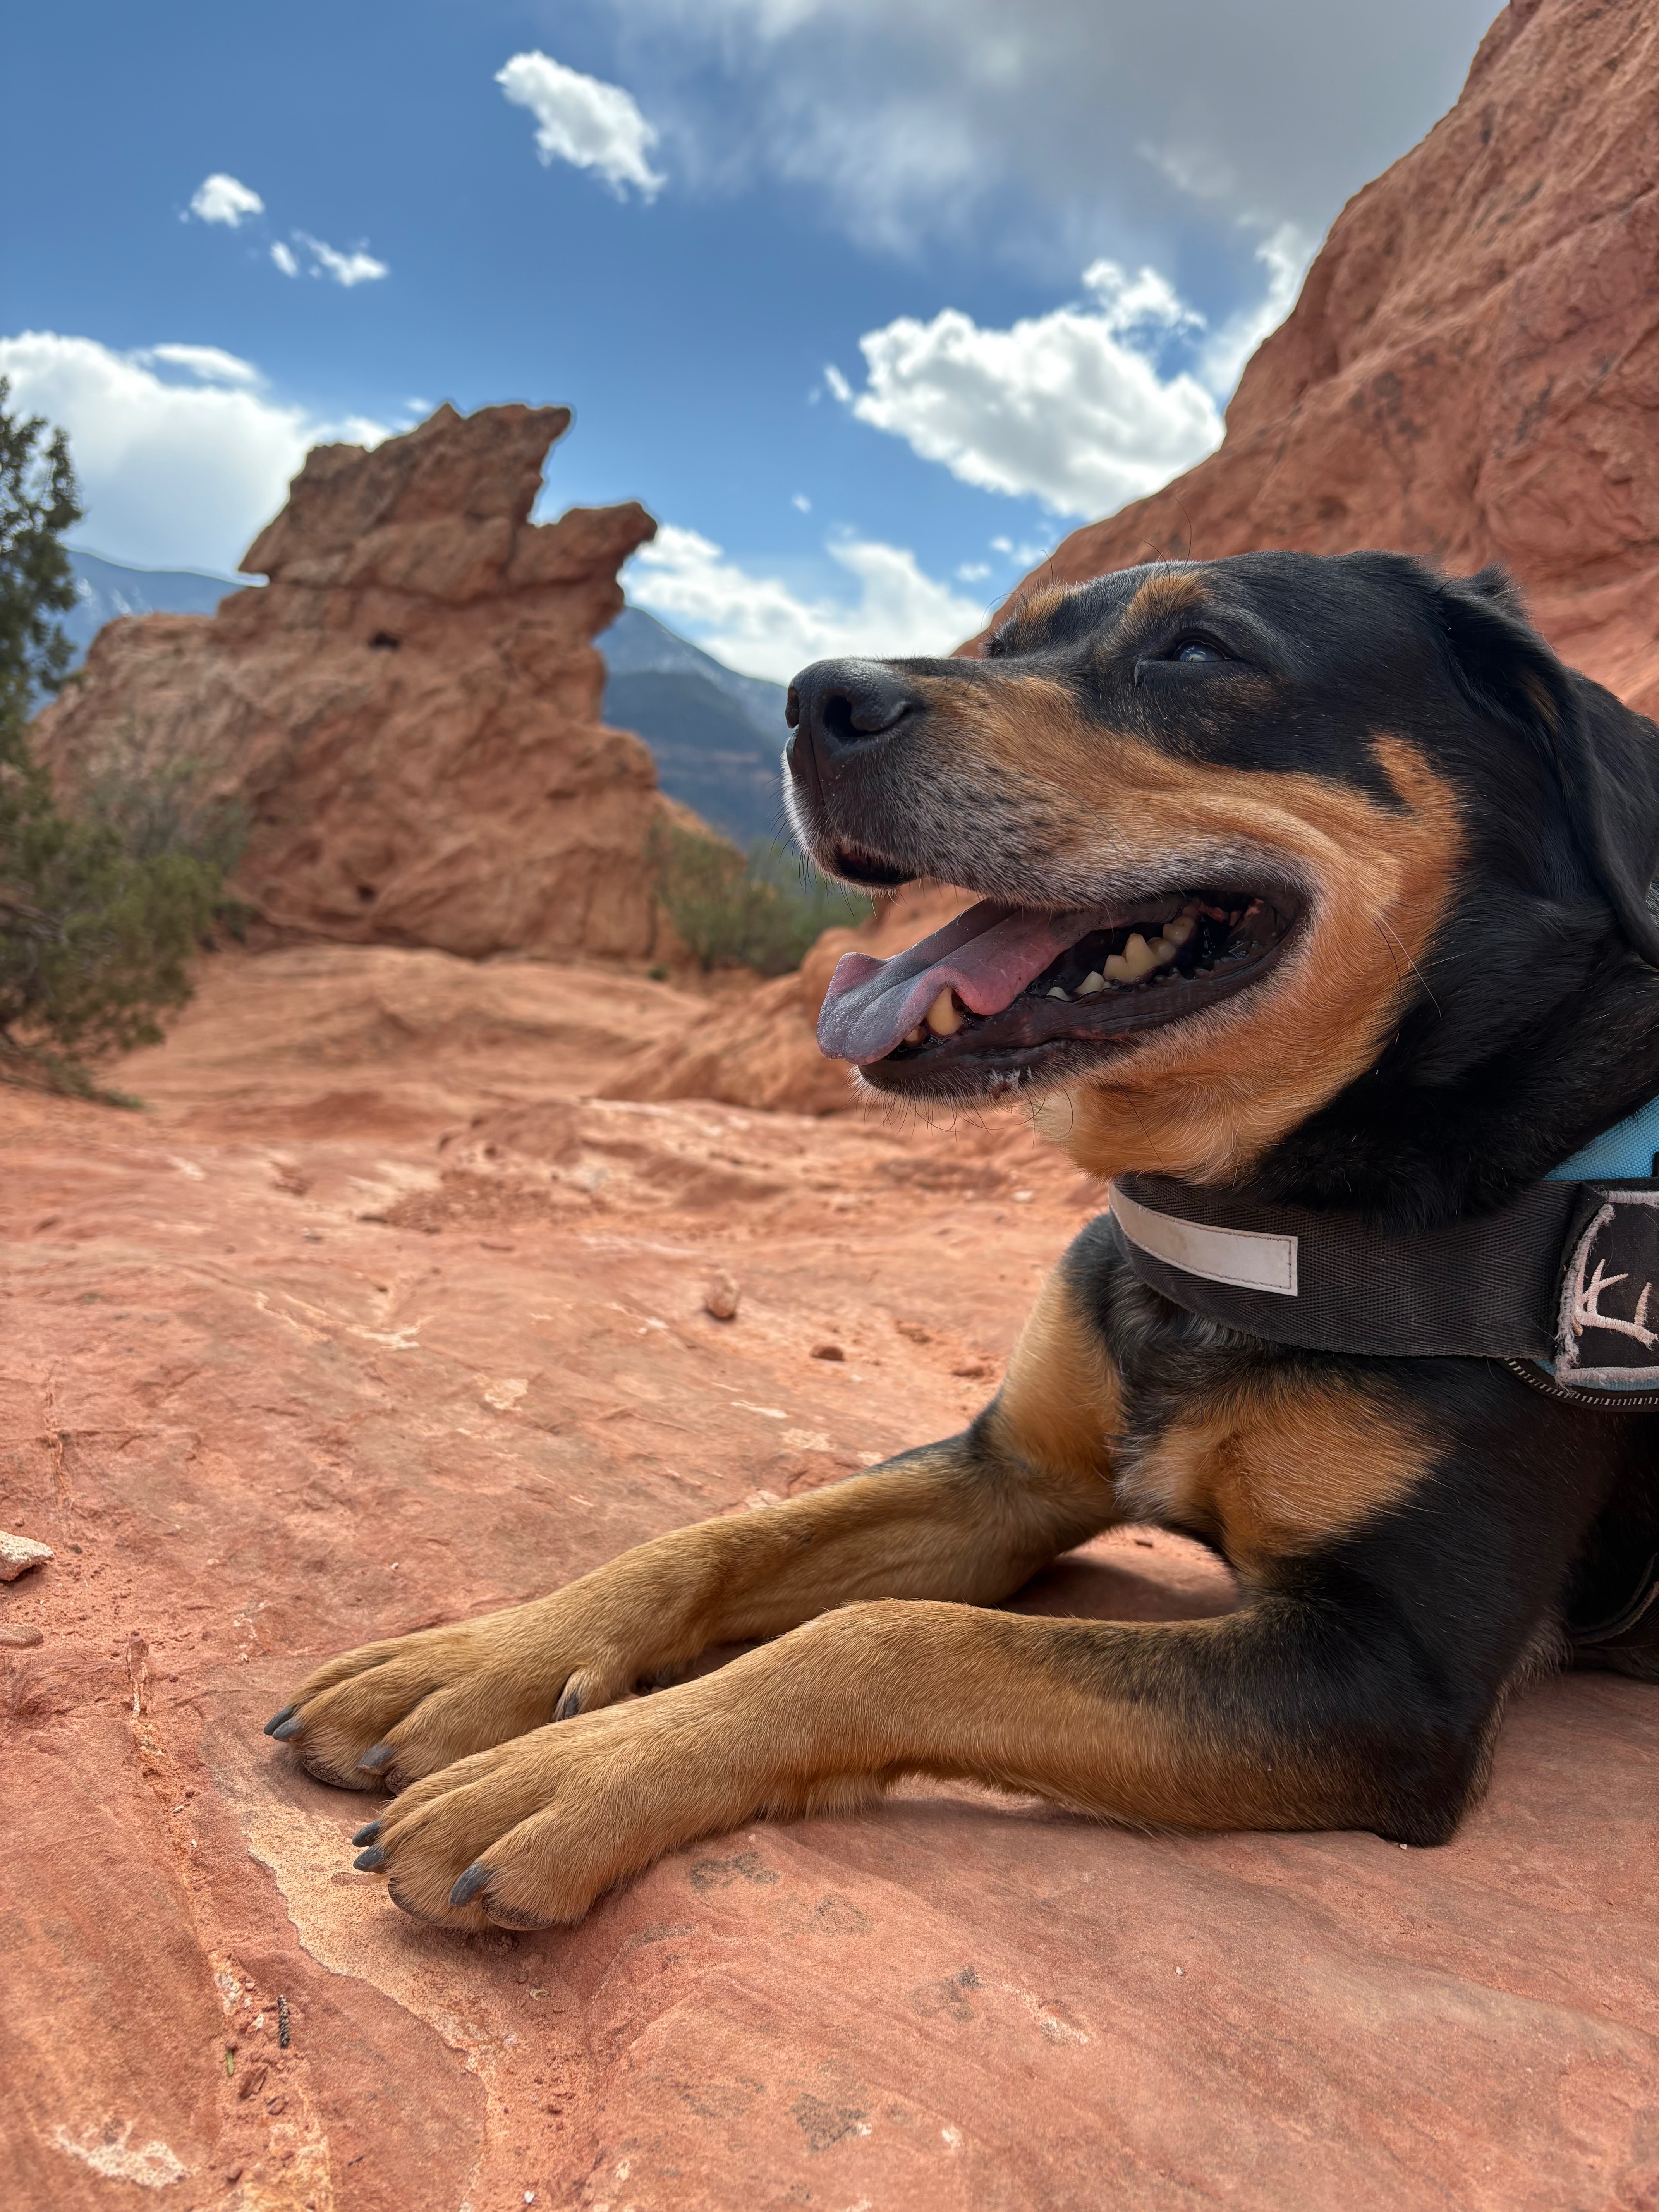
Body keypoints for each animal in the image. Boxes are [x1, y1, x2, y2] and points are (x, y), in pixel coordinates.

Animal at [266, 550, 1659, 1930]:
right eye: (1005, 641)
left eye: (1198, 651)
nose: (814, 699)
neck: (1244, 1217)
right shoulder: (1009, 1478)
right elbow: (719, 1537)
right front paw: (481, 1661)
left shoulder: (1391, 1676)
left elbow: (888, 1639)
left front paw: (575, 1773)